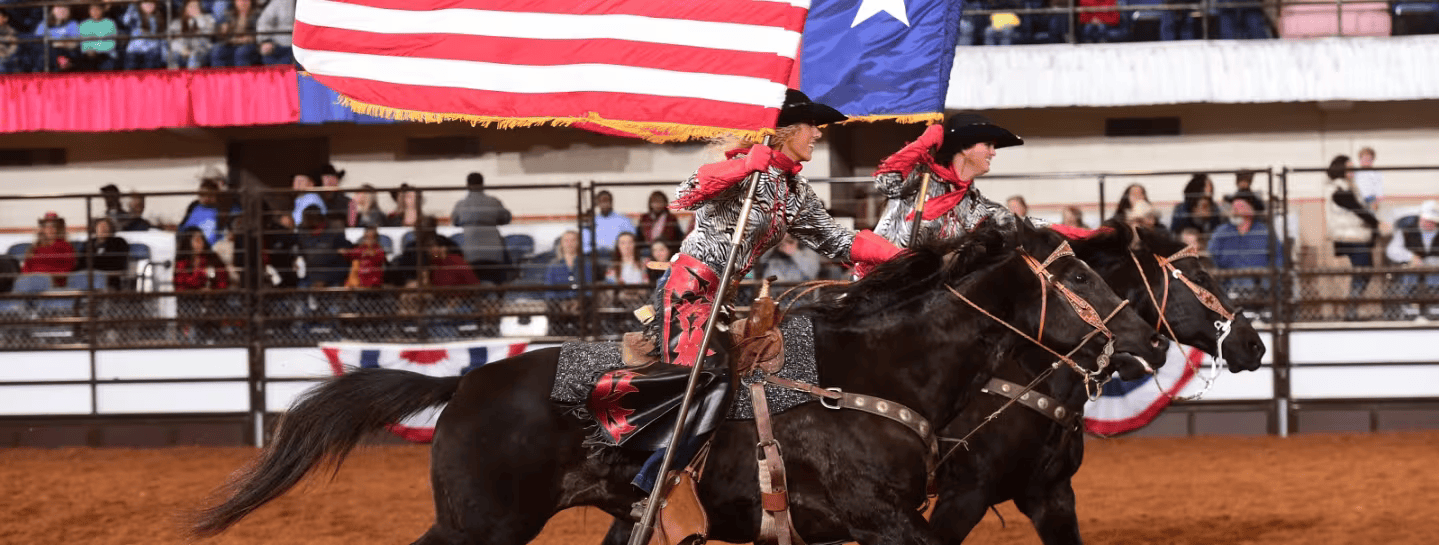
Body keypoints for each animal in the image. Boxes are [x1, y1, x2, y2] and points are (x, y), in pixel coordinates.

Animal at [191, 221, 1168, 545]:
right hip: (482, 522)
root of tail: (468, 386)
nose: (1145, 341)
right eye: (1082, 275)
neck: (874, 375)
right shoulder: (879, 517)